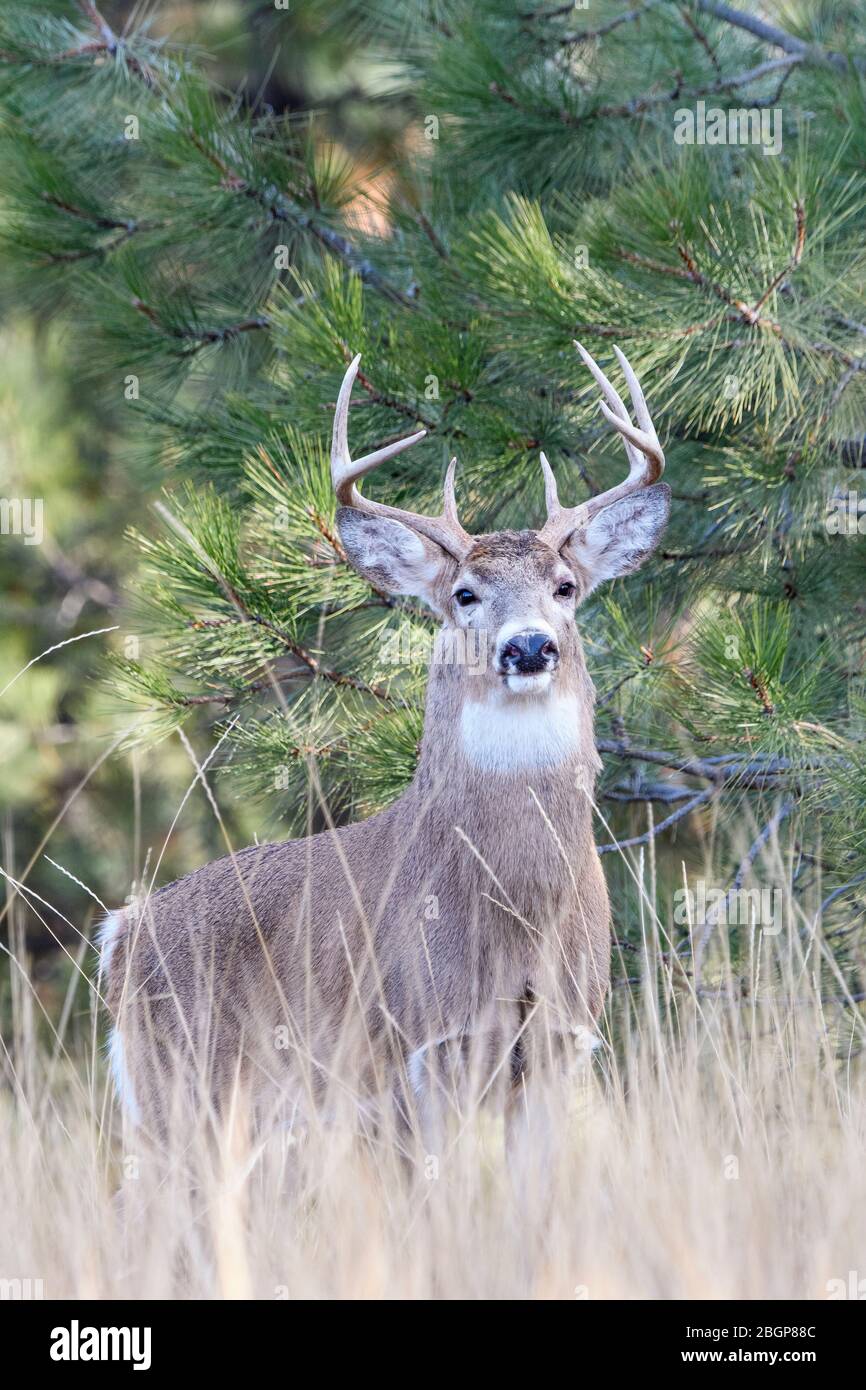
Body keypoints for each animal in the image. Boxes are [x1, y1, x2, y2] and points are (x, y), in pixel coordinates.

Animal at [101, 341, 669, 1154]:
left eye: (565, 586)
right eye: (465, 594)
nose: (529, 646)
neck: (518, 907)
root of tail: (121, 935)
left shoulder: (560, 1046)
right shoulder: (416, 1048)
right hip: (182, 1085)